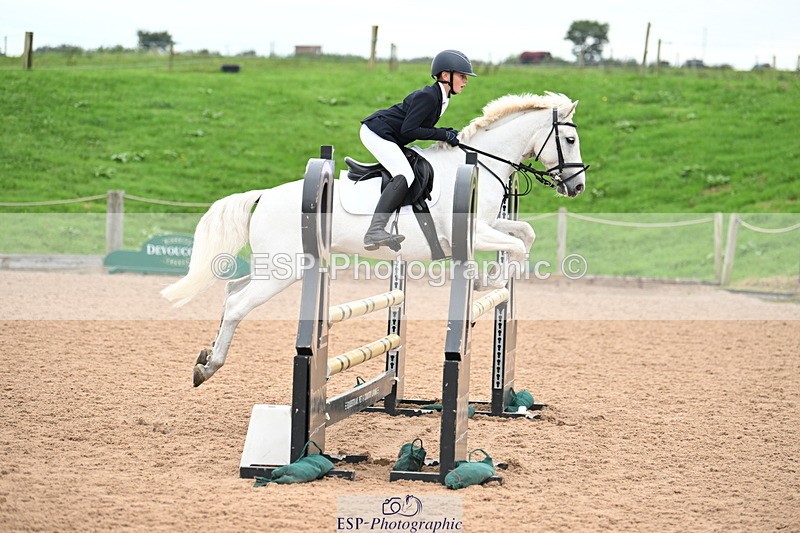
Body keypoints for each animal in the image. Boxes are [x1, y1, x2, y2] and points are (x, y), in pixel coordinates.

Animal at [161, 92, 587, 387]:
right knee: (238, 305)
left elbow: (524, 234)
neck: (480, 163)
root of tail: (264, 195)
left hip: (278, 266)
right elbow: (515, 247)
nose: (578, 186)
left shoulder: (488, 226)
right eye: (569, 140)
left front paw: (491, 280)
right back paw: (209, 368)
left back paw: (205, 356)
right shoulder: (471, 234)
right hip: (286, 269)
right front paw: (488, 281)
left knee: (232, 290)